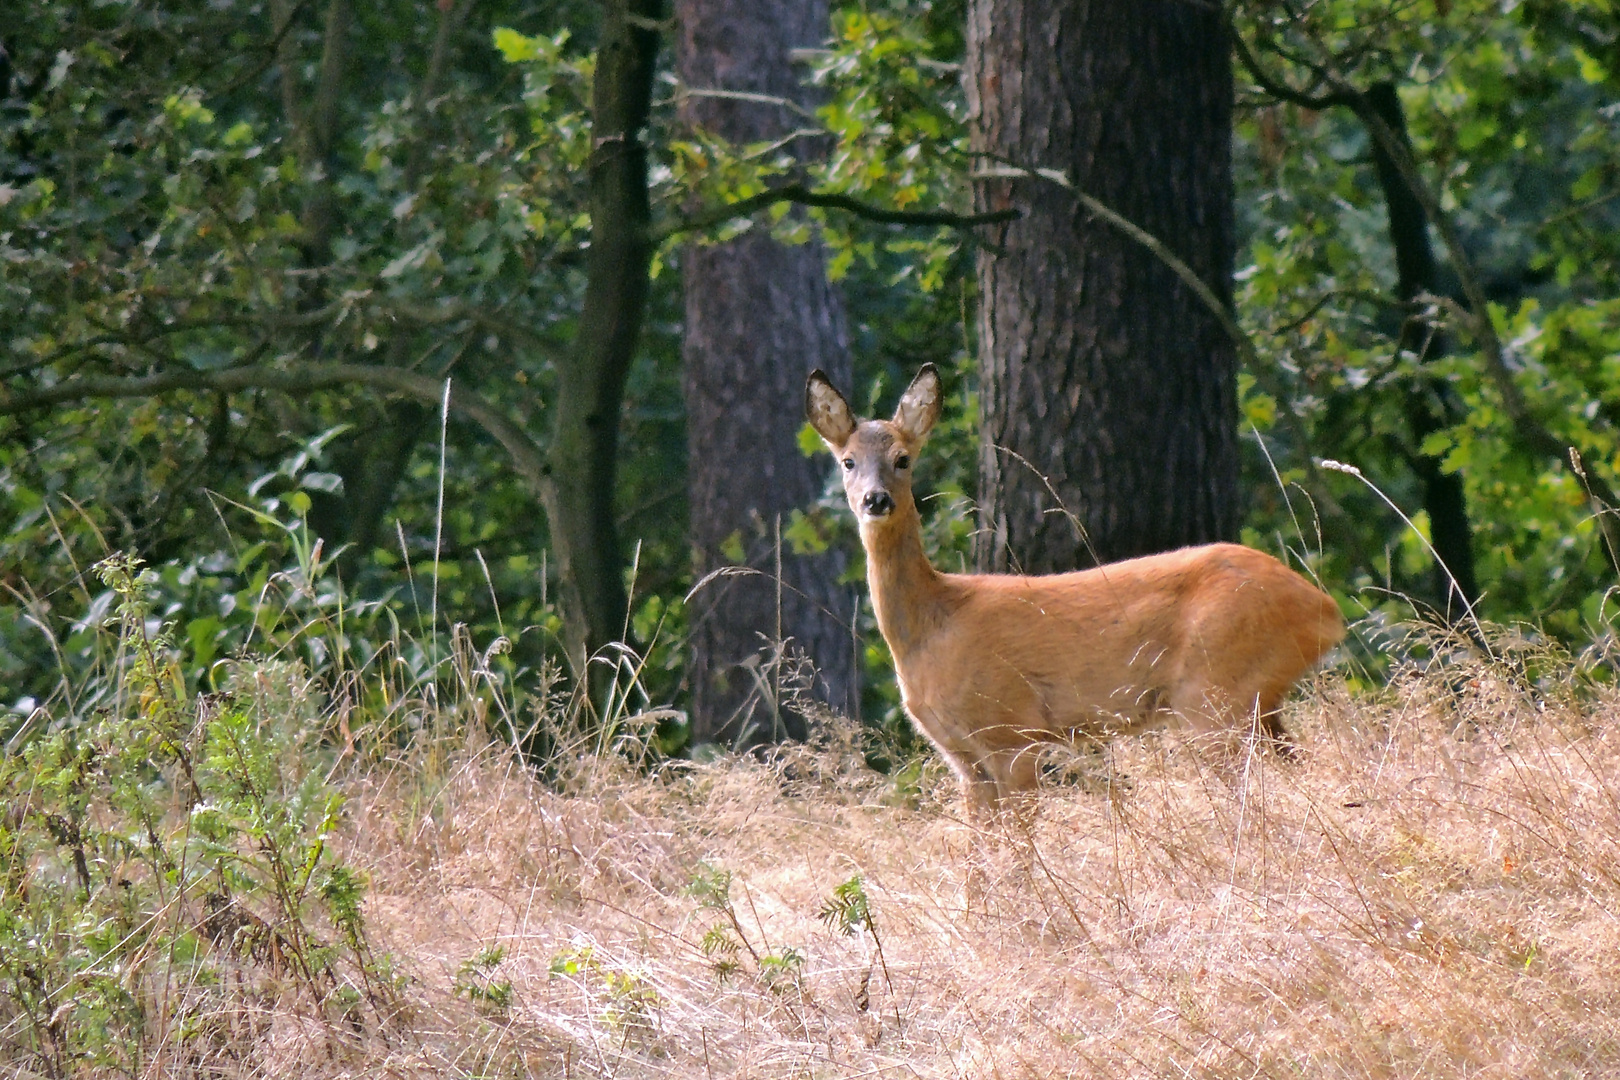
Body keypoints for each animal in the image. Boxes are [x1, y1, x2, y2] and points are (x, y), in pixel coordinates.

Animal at [803, 362, 1347, 809]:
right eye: (847, 461)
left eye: (903, 458)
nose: (875, 500)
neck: (932, 624)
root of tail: (1325, 609)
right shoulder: (963, 758)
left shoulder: (1013, 731)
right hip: (1254, 703)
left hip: (1215, 692)